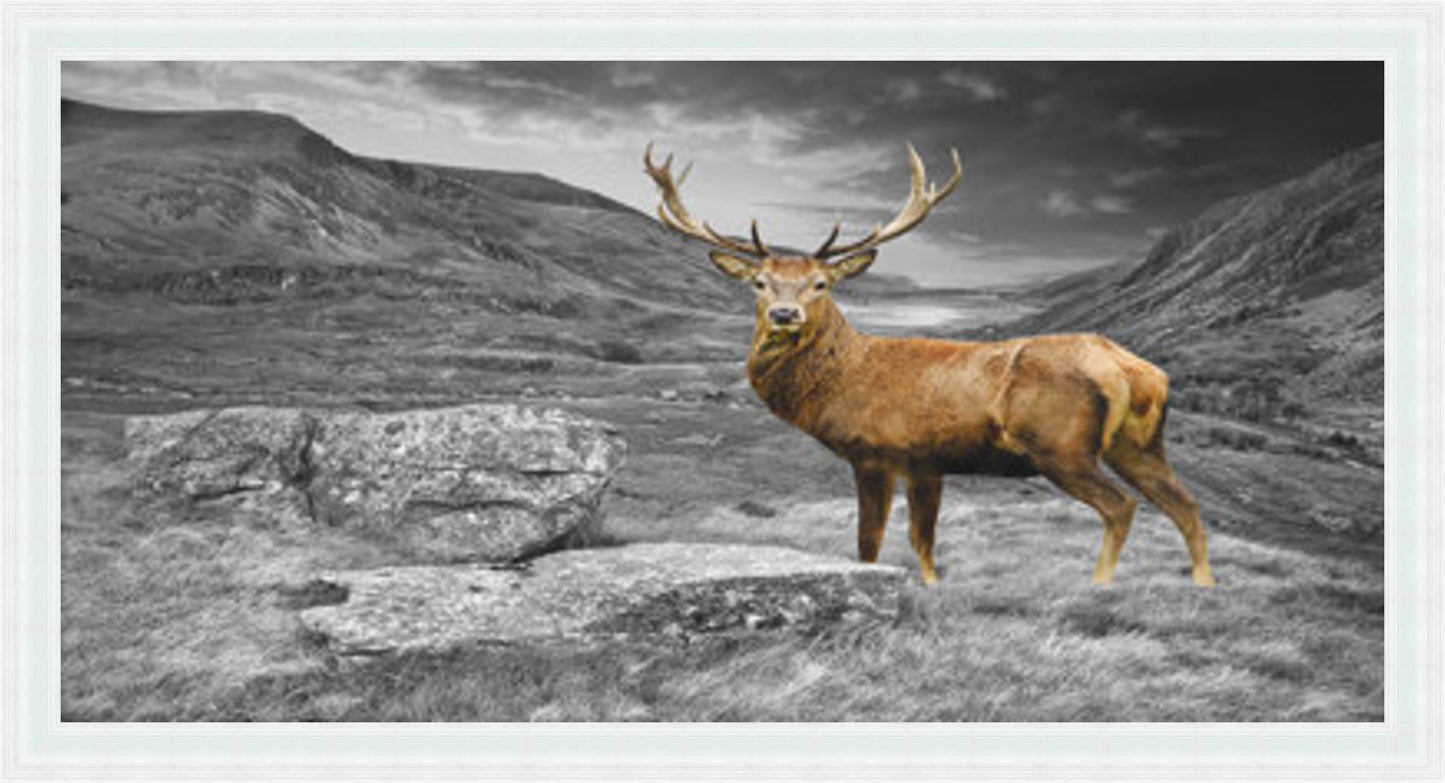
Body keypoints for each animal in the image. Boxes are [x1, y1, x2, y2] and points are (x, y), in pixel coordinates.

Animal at [643, 143, 1215, 588]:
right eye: (759, 283)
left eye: (820, 283)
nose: (785, 314)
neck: (840, 382)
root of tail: (1134, 371)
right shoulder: (927, 463)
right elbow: (924, 544)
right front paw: (932, 589)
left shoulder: (876, 451)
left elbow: (869, 542)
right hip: (1138, 444)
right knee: (1186, 504)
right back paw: (1203, 585)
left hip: (1061, 444)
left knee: (1121, 507)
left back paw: (1099, 585)